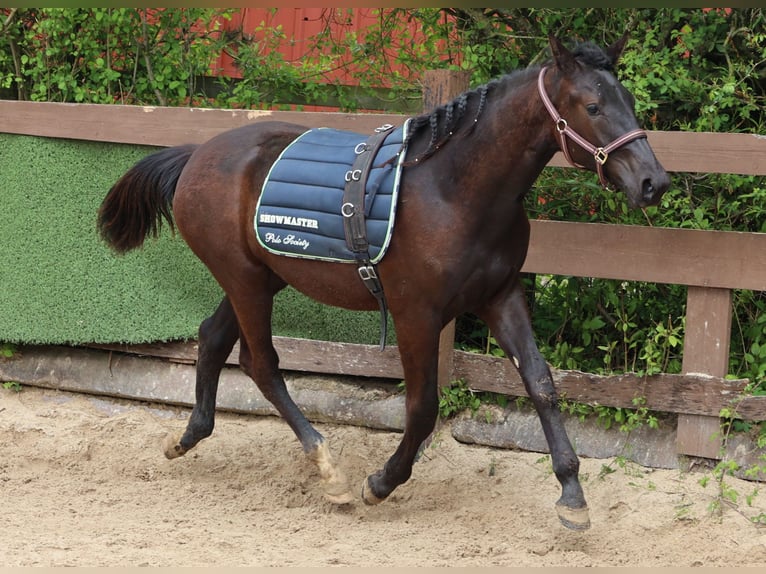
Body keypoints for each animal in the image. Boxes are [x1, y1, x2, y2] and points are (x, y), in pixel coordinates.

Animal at [99, 35, 668, 532]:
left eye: (630, 101)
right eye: (593, 106)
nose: (653, 182)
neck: (454, 189)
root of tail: (197, 154)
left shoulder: (500, 297)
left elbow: (541, 384)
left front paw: (572, 497)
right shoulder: (417, 313)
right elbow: (423, 408)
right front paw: (380, 483)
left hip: (261, 277)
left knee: (214, 336)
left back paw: (188, 436)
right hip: (245, 281)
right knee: (260, 364)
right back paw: (328, 469)